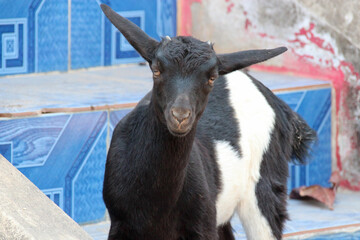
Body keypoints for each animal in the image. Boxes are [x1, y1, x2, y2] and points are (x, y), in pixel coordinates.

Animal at [100, 4, 316, 240]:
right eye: (156, 70)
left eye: (211, 78)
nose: (180, 116)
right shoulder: (120, 223)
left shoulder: (202, 225)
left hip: (264, 186)